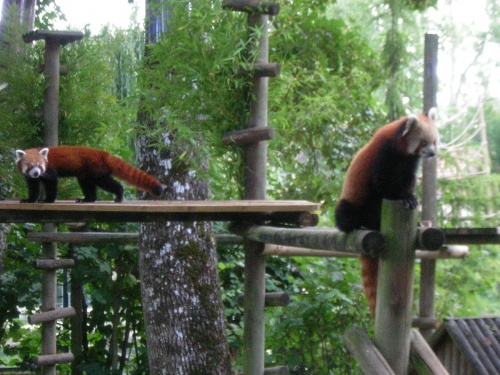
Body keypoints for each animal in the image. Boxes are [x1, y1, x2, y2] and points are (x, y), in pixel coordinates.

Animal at [15, 146, 164, 204]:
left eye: (40, 166)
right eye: (30, 166)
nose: (36, 173)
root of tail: (101, 153)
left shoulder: (50, 170)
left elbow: (52, 184)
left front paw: (47, 200)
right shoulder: (31, 178)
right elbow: (33, 188)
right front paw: (29, 200)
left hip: (96, 171)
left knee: (107, 183)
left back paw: (119, 195)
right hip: (85, 174)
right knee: (88, 185)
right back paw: (87, 199)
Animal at [336, 108, 438, 318]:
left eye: (434, 141)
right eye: (424, 143)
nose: (432, 153)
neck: (401, 149)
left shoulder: (409, 162)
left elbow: (408, 181)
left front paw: (410, 197)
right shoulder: (384, 154)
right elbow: (383, 184)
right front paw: (404, 197)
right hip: (351, 204)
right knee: (345, 215)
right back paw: (359, 224)